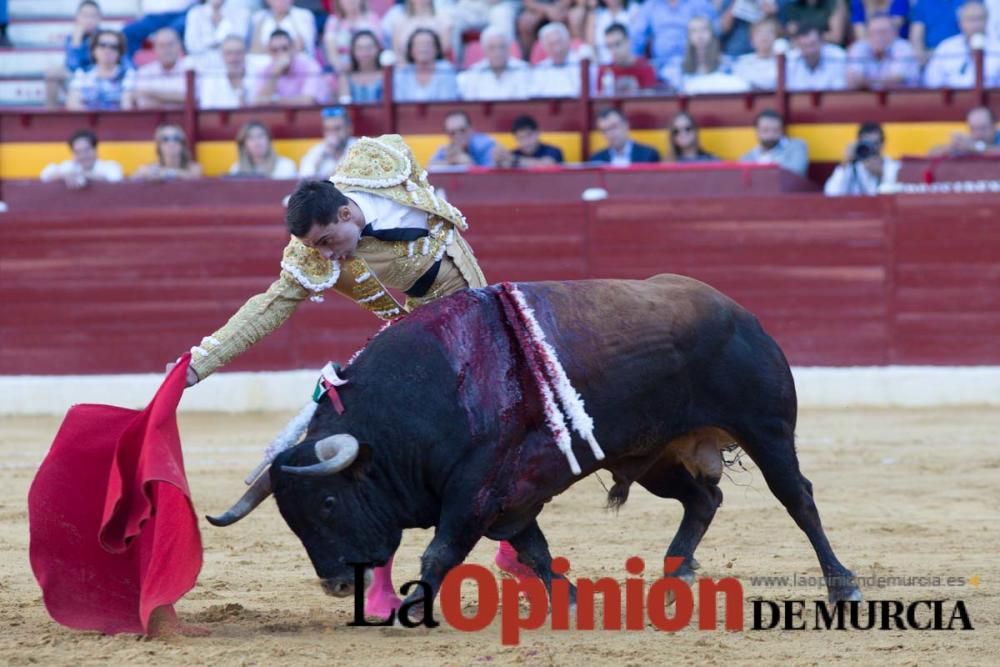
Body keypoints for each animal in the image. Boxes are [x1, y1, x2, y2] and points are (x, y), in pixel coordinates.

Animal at [209, 276, 860, 616]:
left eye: (325, 504)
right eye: (290, 519)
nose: (338, 584)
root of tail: (739, 311)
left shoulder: (474, 490)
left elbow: (440, 553)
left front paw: (413, 608)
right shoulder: (510, 498)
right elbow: (536, 552)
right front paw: (571, 600)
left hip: (766, 430)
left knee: (798, 499)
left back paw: (841, 582)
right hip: (656, 453)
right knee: (703, 501)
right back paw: (672, 575)